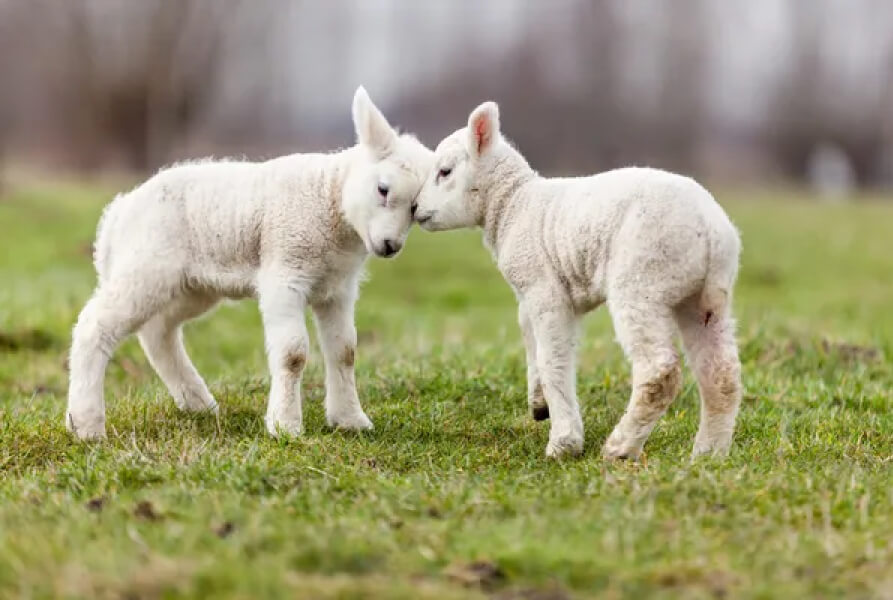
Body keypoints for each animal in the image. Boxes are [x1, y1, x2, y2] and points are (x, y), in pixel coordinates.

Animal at [64, 86, 434, 438]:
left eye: (415, 209)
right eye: (383, 189)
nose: (389, 246)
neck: (329, 199)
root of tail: (117, 214)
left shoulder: (337, 289)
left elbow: (345, 351)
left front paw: (350, 420)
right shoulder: (285, 273)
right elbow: (293, 353)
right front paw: (285, 426)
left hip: (191, 286)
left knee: (159, 333)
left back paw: (198, 403)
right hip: (146, 266)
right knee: (94, 326)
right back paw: (86, 424)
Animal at [414, 103, 744, 460]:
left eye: (445, 171)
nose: (415, 208)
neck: (514, 204)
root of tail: (711, 229)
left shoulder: (544, 290)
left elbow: (553, 359)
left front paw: (564, 442)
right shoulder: (531, 292)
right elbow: (530, 338)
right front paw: (539, 403)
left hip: (642, 279)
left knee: (660, 371)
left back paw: (620, 447)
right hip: (700, 299)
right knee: (722, 374)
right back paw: (708, 454)